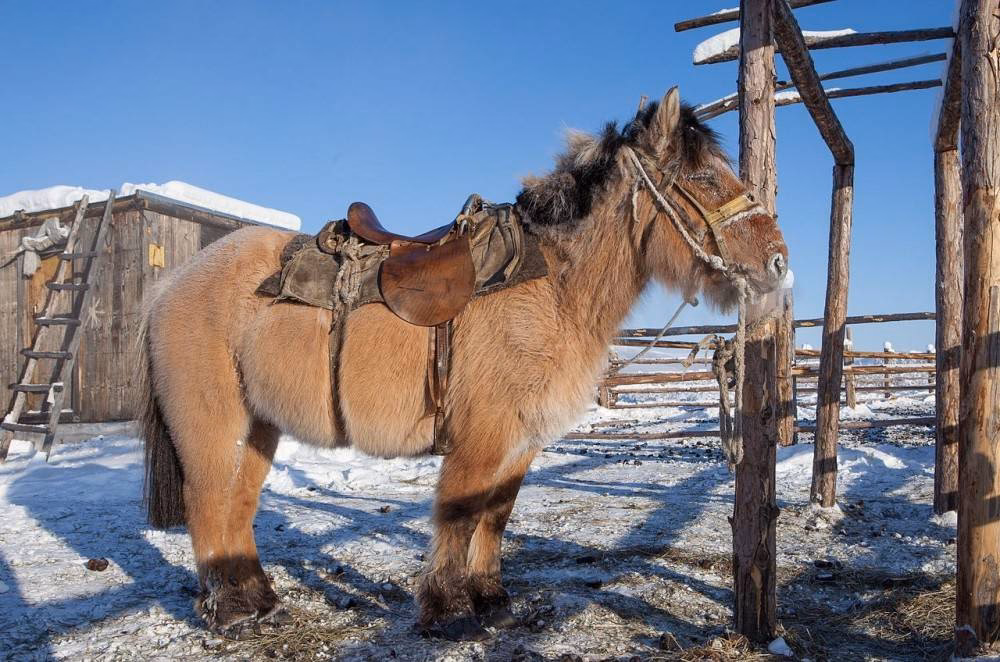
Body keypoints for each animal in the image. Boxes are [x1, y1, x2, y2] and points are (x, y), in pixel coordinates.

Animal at [139, 87, 788, 640]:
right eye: (702, 176)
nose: (778, 263)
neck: (551, 285)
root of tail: (169, 285)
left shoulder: (522, 440)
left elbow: (495, 516)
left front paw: (490, 599)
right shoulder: (481, 436)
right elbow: (458, 514)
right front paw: (448, 608)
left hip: (259, 427)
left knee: (237, 509)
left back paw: (259, 599)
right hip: (211, 424)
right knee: (207, 504)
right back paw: (227, 612)